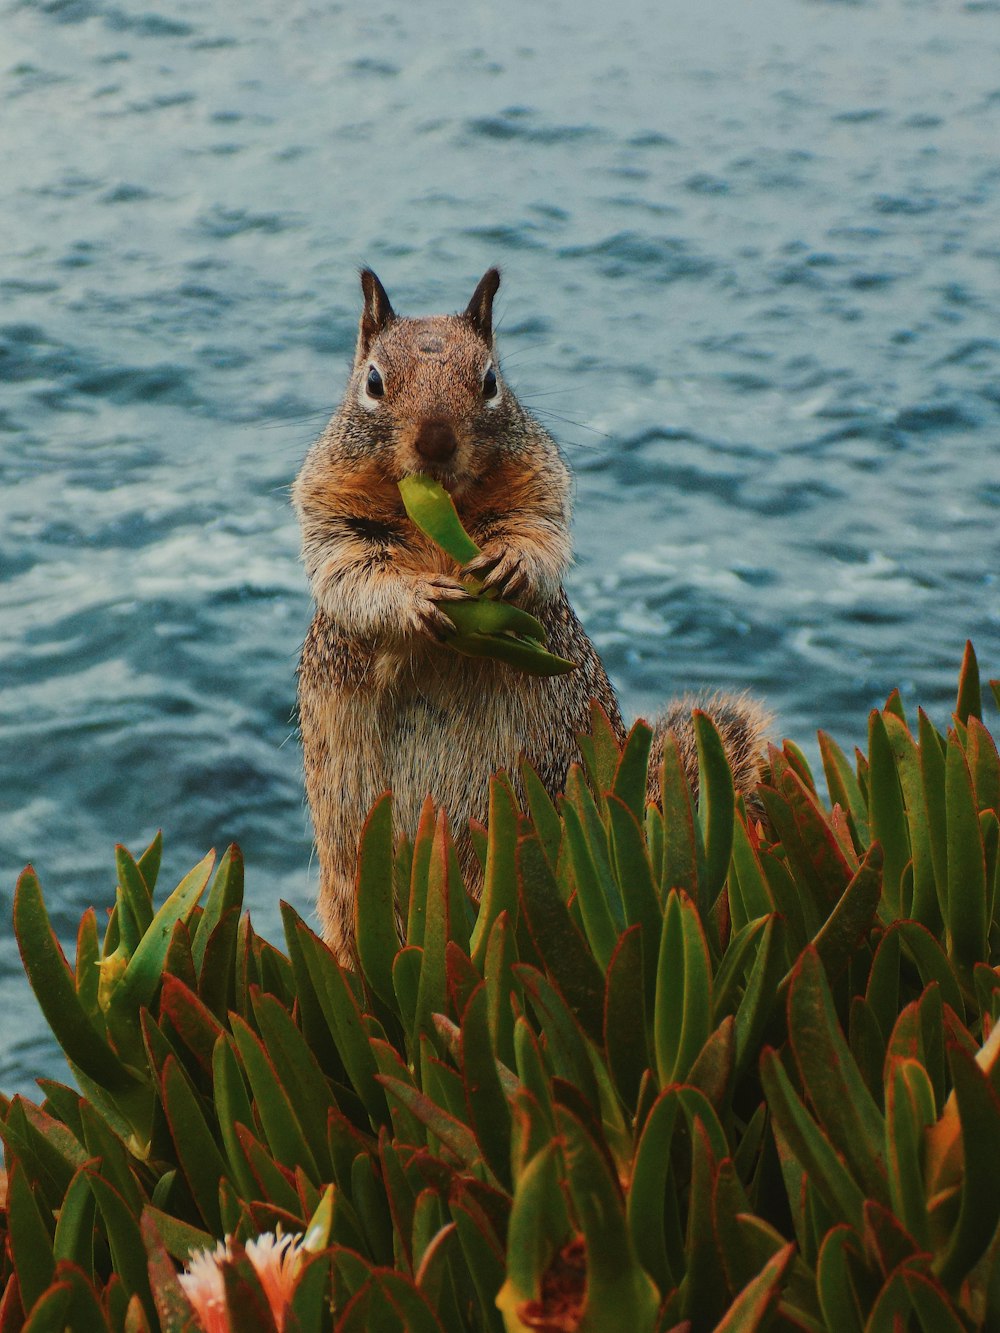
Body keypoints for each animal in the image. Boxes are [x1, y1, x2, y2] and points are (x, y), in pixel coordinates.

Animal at [292, 267, 773, 959]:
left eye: (491, 381)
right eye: (374, 382)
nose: (436, 440)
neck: (440, 515)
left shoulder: (541, 484)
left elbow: (541, 535)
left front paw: (512, 565)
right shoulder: (330, 510)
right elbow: (350, 573)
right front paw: (417, 600)